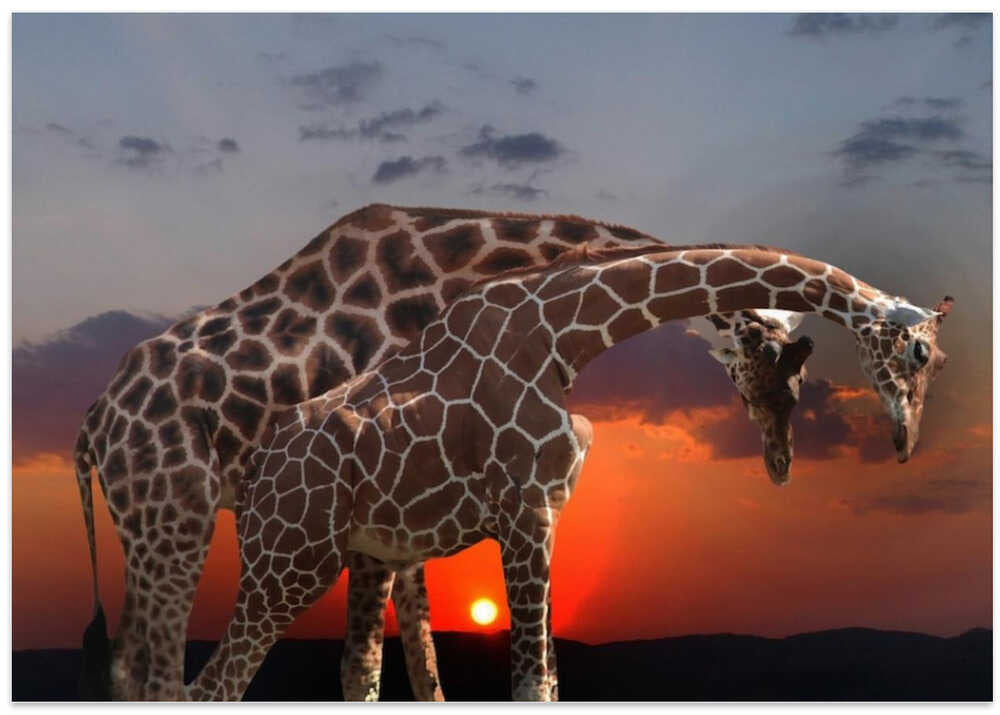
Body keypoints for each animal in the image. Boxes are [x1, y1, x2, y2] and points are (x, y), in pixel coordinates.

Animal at [71, 204, 814, 700]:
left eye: (797, 385)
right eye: (775, 373)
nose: (781, 464)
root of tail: (92, 425)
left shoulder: (404, 506)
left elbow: (420, 664)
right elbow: (380, 662)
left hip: (147, 529)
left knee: (126, 662)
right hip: (177, 521)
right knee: (162, 673)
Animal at [184, 242, 952, 701]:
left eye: (938, 363)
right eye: (919, 355)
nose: (905, 440)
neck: (564, 336)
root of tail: (257, 475)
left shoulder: (548, 514)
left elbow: (549, 682)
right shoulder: (523, 513)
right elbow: (529, 683)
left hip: (366, 555)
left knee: (355, 669)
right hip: (291, 559)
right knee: (213, 684)